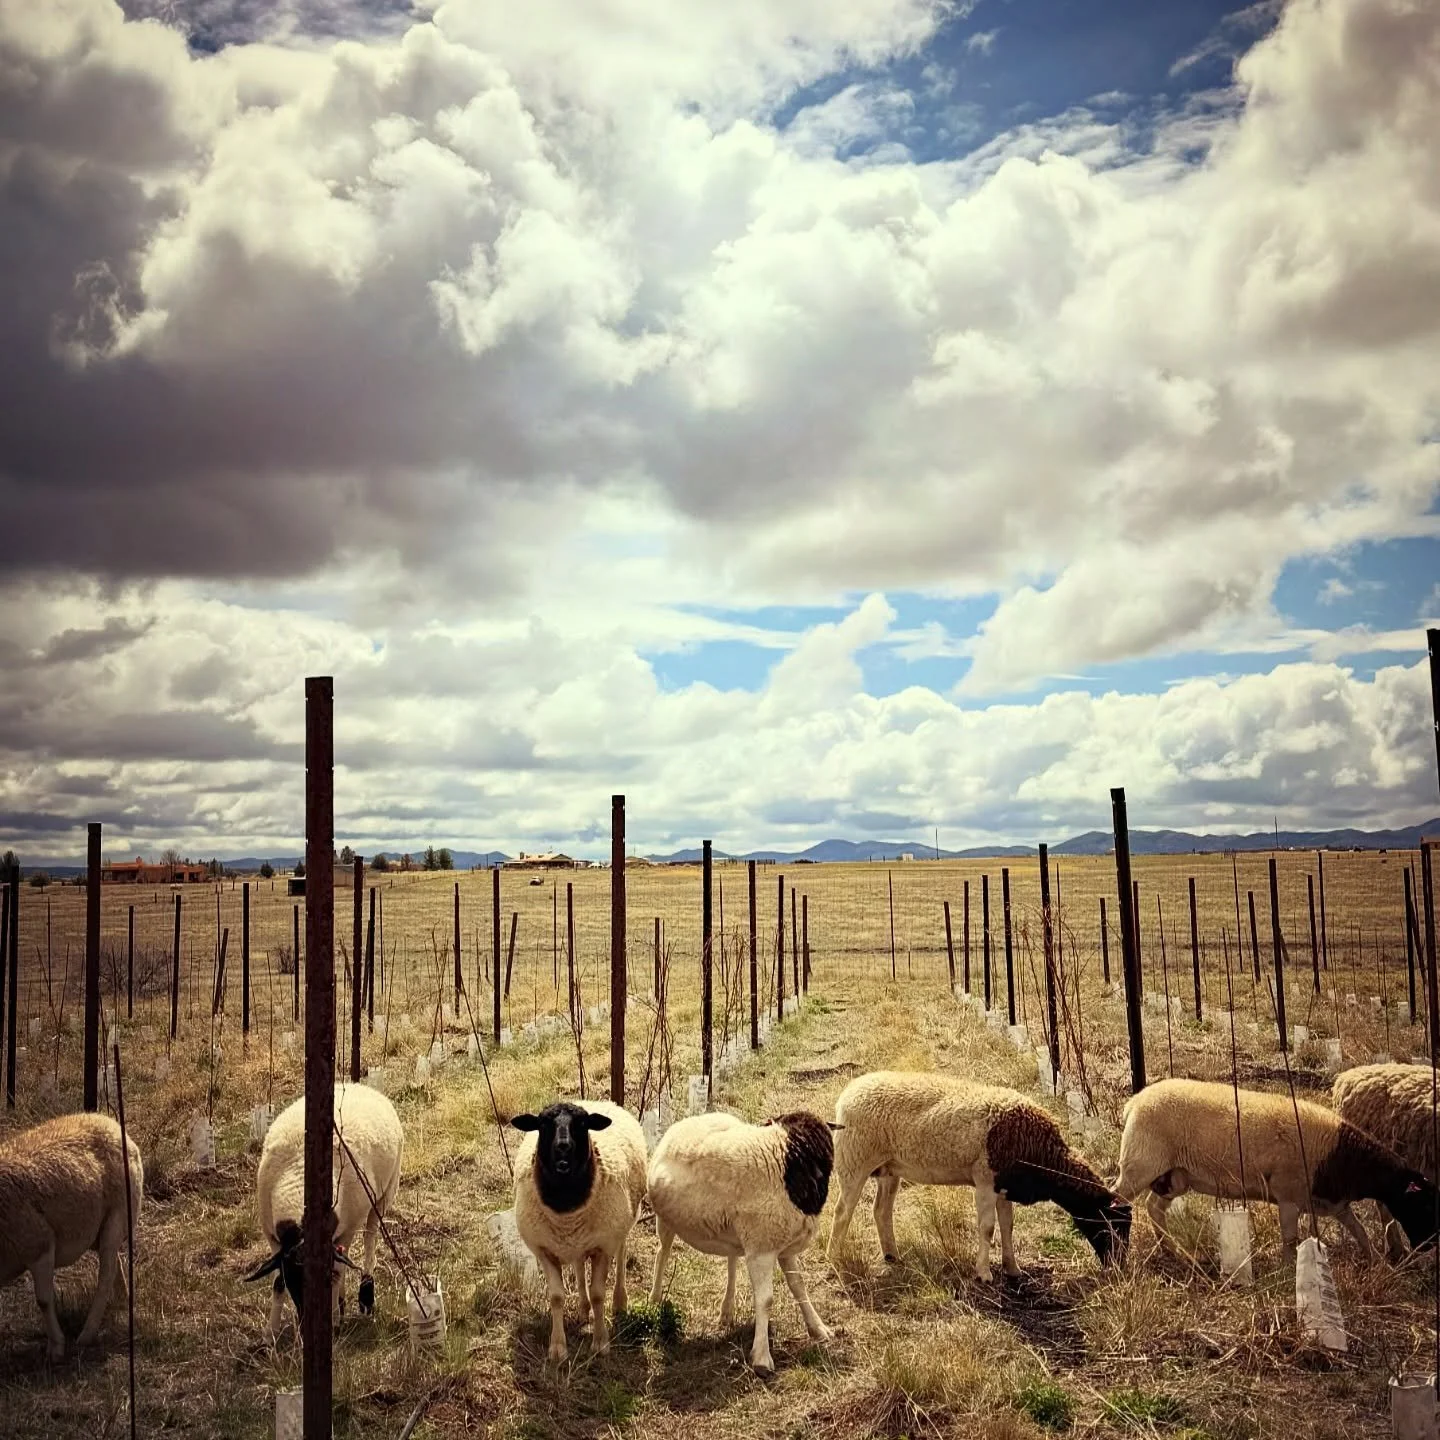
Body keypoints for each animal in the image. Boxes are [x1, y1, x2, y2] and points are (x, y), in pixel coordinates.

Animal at [0, 1112, 144, 1360]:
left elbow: (44, 1300)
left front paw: (56, 1348)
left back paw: (87, 1334)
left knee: (105, 1275)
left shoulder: (40, 1247)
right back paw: (123, 1300)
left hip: (117, 1218)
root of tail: (110, 1123)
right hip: (98, 1230)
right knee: (115, 1263)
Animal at [244, 1082, 403, 1338]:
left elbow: (337, 1271)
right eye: (294, 1280)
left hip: (384, 1195)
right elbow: (278, 1283)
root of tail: (359, 1085)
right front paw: (271, 1332)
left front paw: (335, 1321)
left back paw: (365, 1296)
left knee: (369, 1241)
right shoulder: (275, 1239)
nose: (305, 1327)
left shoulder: (346, 1229)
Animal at [511, 1099, 647, 1363]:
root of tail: (599, 1101)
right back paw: (584, 1309)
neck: (566, 1209)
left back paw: (619, 1301)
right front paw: (557, 1348)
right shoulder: (544, 1250)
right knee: (578, 1263)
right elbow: (556, 1296)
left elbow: (598, 1295)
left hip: (622, 1223)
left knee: (621, 1254)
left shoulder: (603, 1246)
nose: (563, 1147)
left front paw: (601, 1343)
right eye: (543, 1124)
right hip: (577, 1240)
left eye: (583, 1124)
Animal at [647, 1110, 837, 1373]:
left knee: (732, 1261)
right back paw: (654, 1299)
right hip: (665, 1220)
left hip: (734, 1232)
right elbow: (766, 1300)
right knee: (662, 1255)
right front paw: (762, 1357)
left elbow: (799, 1287)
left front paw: (818, 1328)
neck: (787, 1161)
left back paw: (727, 1310)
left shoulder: (782, 1246)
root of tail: (686, 1122)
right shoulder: (762, 1248)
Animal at [826, 1071, 1129, 1281]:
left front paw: (1012, 1268)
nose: (1120, 1268)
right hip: (854, 1161)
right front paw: (984, 1273)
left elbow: (1007, 1226)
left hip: (889, 1169)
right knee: (842, 1212)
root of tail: (846, 1095)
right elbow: (987, 1228)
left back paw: (892, 1256)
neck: (1043, 1156)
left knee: (881, 1211)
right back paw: (834, 1259)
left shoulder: (1004, 1184)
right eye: (1114, 1224)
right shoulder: (985, 1180)